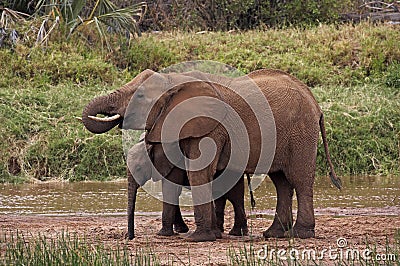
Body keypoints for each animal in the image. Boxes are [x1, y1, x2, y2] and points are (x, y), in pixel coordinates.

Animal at [83, 69, 342, 243]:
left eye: (139, 97)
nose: (130, 237)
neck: (175, 81)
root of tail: (314, 102)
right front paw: (201, 234)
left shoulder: (210, 128)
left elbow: (197, 173)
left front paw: (197, 238)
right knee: (281, 181)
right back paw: (274, 234)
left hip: (301, 131)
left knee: (299, 179)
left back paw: (301, 233)